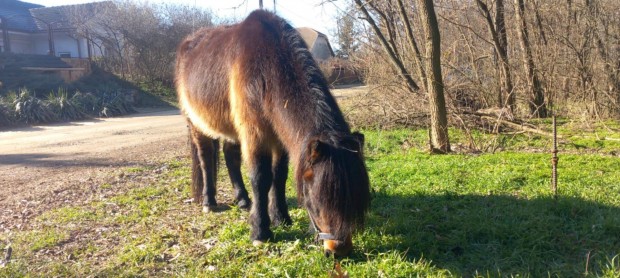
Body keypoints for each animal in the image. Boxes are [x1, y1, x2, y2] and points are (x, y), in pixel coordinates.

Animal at [174, 9, 368, 256]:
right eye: (316, 203)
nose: (338, 250)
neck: (266, 66)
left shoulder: (278, 138)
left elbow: (279, 176)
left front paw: (280, 217)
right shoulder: (255, 135)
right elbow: (261, 178)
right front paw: (260, 232)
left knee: (230, 157)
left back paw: (243, 201)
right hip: (197, 125)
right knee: (206, 160)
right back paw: (209, 202)